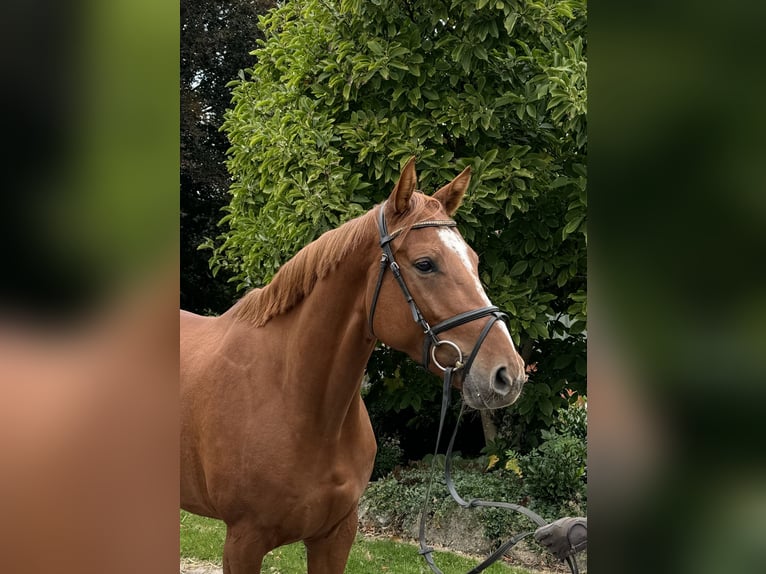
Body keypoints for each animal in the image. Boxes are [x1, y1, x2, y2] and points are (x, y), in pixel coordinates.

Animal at [180, 159, 528, 574]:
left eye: (474, 261)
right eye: (425, 264)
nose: (508, 374)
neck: (293, 401)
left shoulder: (337, 535)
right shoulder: (242, 543)